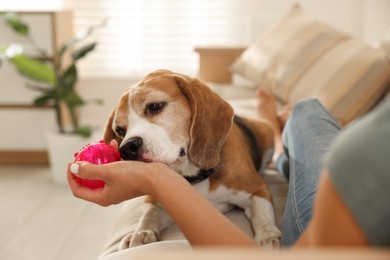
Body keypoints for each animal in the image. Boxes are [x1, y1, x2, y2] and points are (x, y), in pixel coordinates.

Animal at [103, 70, 280, 249]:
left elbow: (262, 214)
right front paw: (140, 232)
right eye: (120, 130)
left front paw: (267, 236)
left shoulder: (257, 189)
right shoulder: (158, 199)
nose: (127, 149)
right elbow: (149, 213)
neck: (195, 174)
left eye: (155, 106)